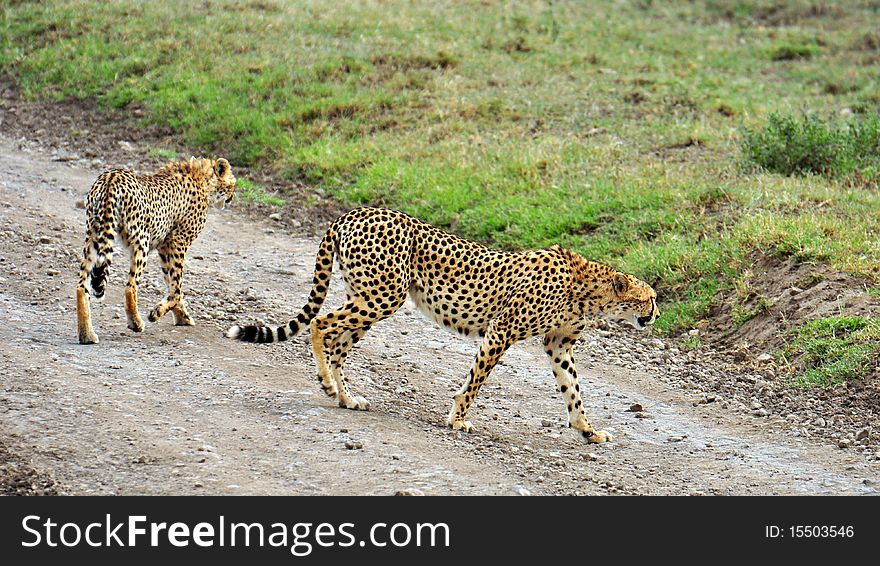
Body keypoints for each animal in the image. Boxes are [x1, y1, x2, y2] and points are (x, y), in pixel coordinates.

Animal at [77, 159, 234, 346]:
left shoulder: (165, 246)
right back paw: (136, 323)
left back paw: (86, 335)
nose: (232, 198)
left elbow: (172, 284)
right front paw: (158, 313)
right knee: (130, 286)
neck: (203, 179)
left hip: (93, 238)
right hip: (141, 242)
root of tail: (111, 177)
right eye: (233, 184)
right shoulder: (177, 241)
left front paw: (182, 317)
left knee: (81, 287)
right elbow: (176, 287)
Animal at [229, 209, 660, 444]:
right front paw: (457, 419)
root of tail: (354, 212)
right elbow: (475, 381)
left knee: (338, 343)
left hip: (369, 297)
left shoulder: (558, 344)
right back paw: (327, 384)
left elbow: (574, 392)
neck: (590, 290)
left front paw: (588, 431)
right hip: (383, 297)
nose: (657, 314)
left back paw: (346, 397)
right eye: (650, 298)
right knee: (320, 323)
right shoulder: (502, 331)